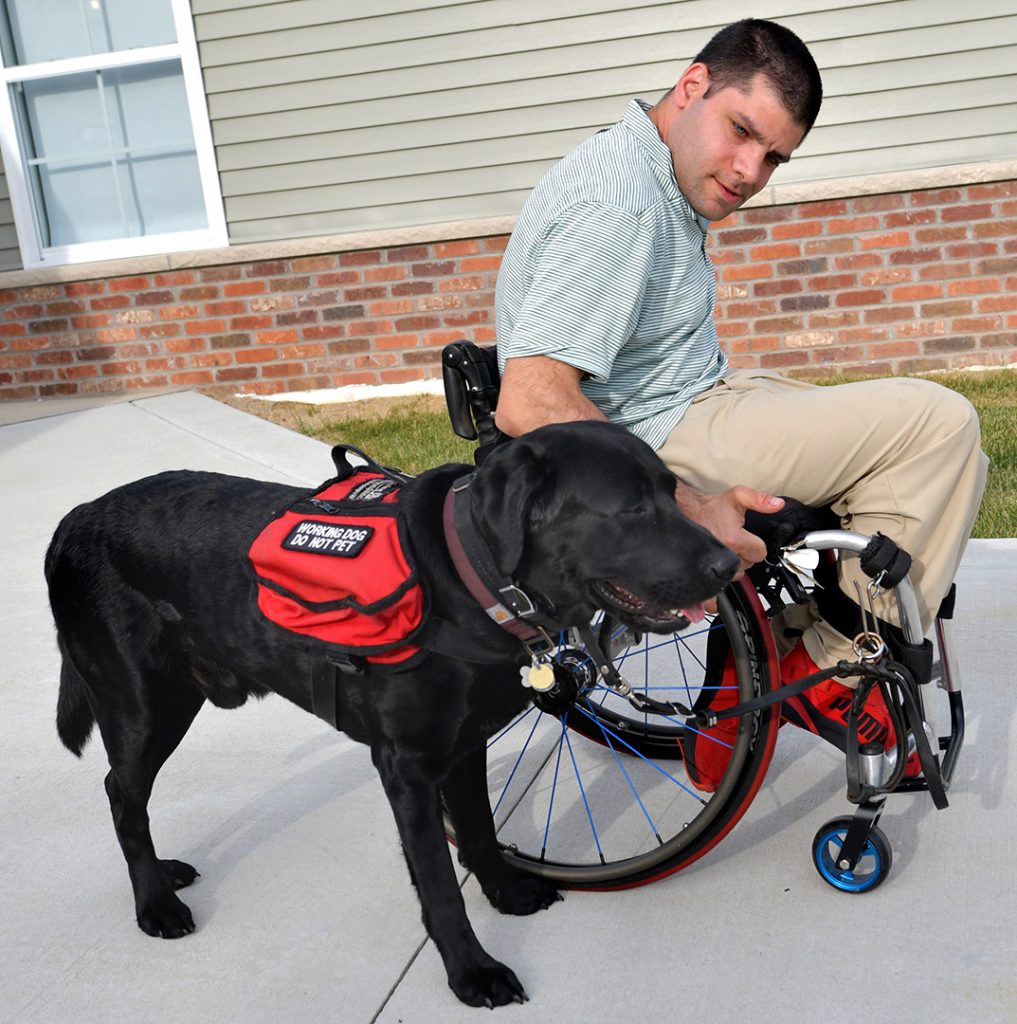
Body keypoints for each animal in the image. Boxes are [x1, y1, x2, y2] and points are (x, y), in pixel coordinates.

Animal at [45, 417, 737, 1007]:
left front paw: (505, 892)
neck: (466, 584)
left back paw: (164, 875)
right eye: (632, 507)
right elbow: (439, 885)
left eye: (674, 493)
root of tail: (75, 518)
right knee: (121, 793)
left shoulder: (464, 745)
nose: (732, 562)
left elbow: (480, 832)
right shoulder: (407, 767)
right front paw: (472, 972)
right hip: (143, 707)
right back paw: (154, 902)